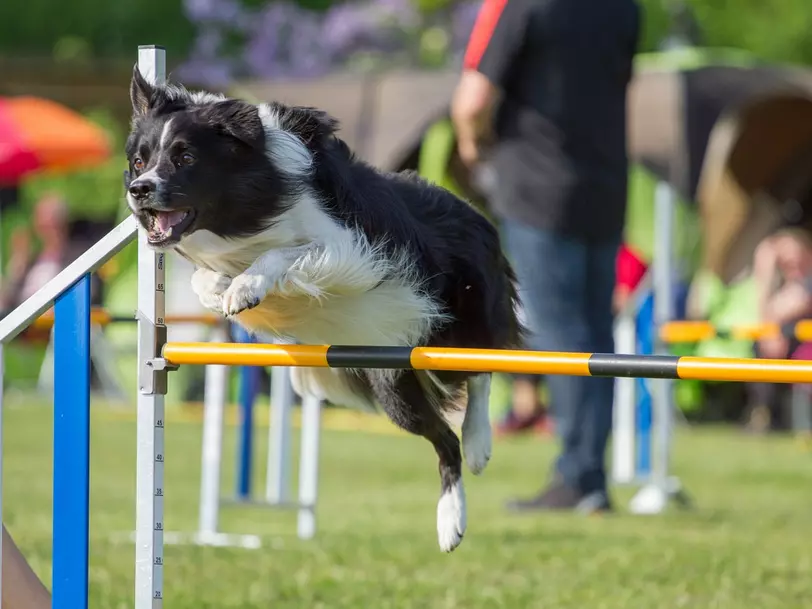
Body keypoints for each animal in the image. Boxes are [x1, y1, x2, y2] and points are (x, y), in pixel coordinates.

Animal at [123, 66, 524, 552]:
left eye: (185, 158)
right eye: (139, 161)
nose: (138, 190)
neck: (251, 205)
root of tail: (473, 210)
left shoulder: (348, 249)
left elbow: (284, 253)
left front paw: (246, 287)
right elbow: (204, 278)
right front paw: (222, 289)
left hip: (456, 321)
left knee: (481, 370)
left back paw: (477, 451)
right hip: (393, 379)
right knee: (445, 439)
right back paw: (450, 521)